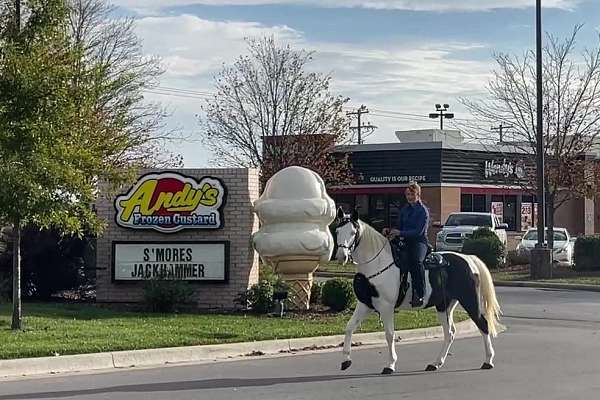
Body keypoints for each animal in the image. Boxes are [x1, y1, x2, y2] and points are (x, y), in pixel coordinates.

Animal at [332, 208, 502, 374]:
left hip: (469, 300)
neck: (378, 263)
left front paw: (390, 365)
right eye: (337, 231)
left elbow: (389, 334)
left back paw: (488, 361)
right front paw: (346, 360)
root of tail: (469, 259)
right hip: (444, 306)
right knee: (449, 333)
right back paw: (435, 363)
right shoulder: (365, 304)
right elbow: (350, 327)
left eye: (353, 232)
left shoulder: (386, 307)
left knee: (483, 324)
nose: (341, 256)